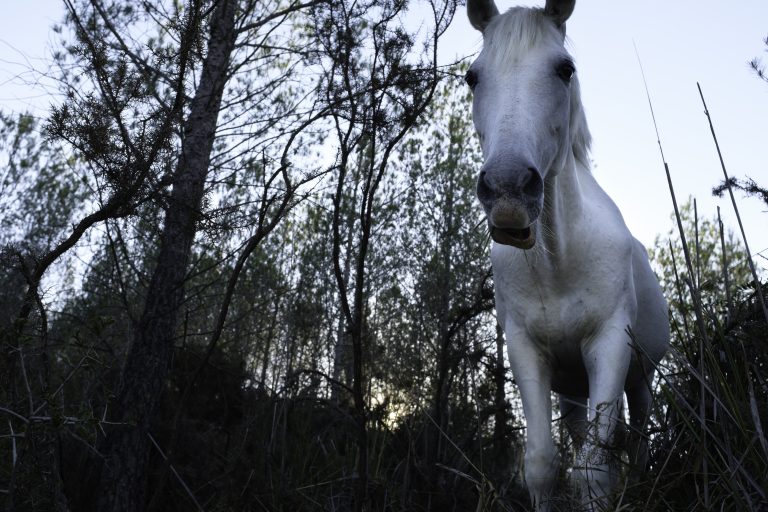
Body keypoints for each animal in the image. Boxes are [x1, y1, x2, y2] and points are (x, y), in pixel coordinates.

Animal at [464, 2, 668, 510]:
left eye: (565, 69)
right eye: (472, 77)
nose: (509, 192)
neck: (556, 262)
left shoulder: (609, 344)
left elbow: (594, 469)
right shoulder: (526, 351)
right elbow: (542, 463)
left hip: (640, 381)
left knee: (637, 443)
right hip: (573, 390)